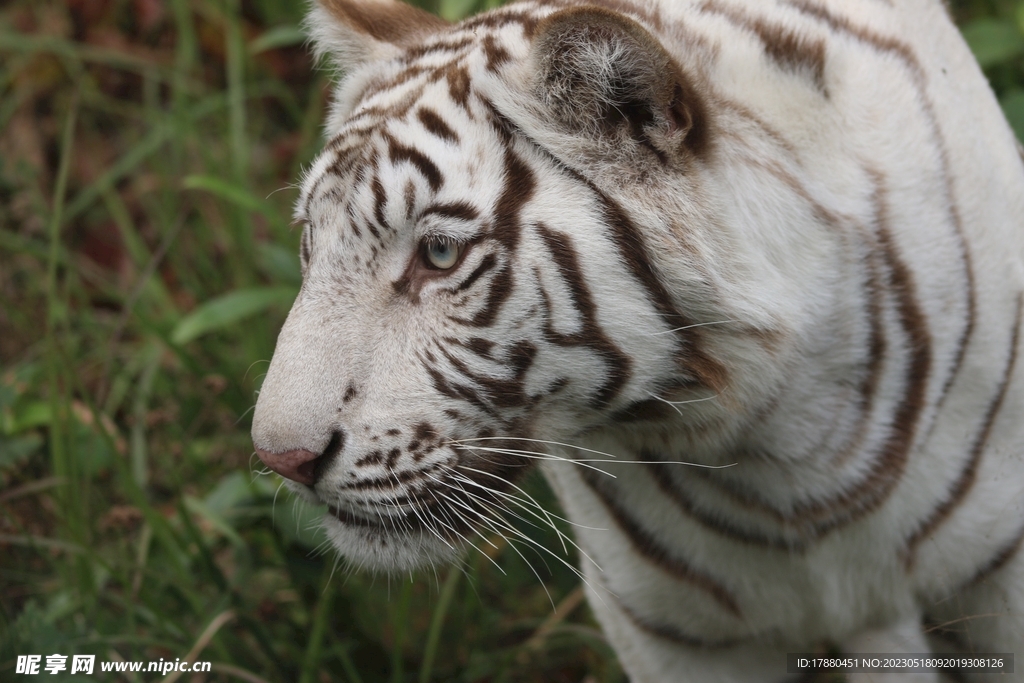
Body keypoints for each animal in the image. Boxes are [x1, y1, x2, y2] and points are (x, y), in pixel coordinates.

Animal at [249, 0, 1024, 679]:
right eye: (311, 240)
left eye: (438, 254)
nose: (283, 460)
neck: (781, 452)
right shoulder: (672, 633)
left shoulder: (998, 580)